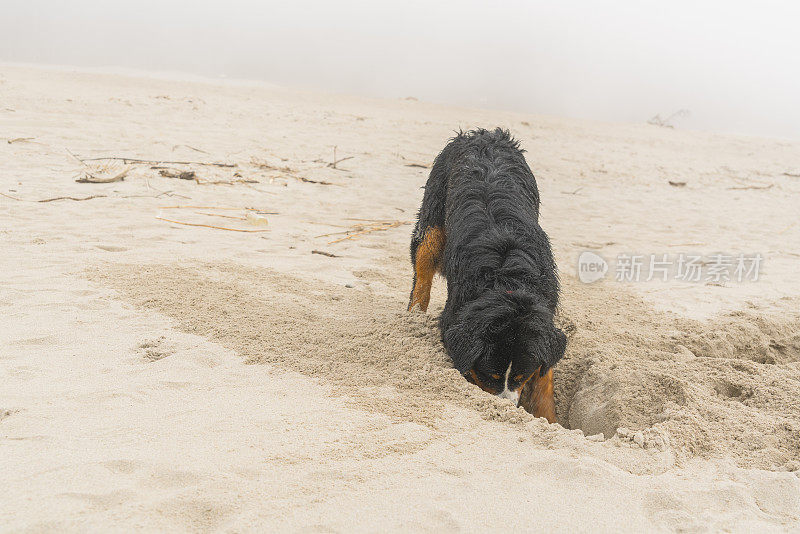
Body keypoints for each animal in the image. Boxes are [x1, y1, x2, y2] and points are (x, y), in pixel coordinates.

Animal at [410, 129, 564, 422]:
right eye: (489, 376)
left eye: (520, 377)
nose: (504, 409)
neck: (507, 281)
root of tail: (484, 134)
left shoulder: (545, 309)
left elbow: (545, 374)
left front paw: (547, 417)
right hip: (431, 223)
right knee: (422, 273)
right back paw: (413, 318)